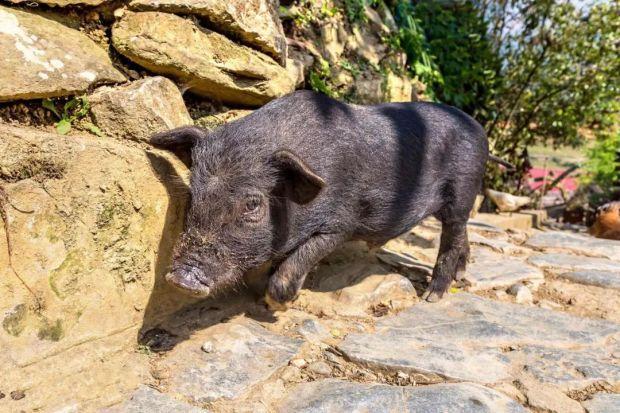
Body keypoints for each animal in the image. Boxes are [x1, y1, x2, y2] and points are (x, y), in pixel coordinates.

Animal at [153, 89, 502, 302]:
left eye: (252, 204)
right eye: (194, 191)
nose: (181, 278)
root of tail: (478, 127)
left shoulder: (342, 222)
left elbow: (302, 257)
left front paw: (277, 301)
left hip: (463, 189)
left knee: (452, 234)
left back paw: (432, 296)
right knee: (461, 234)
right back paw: (461, 277)